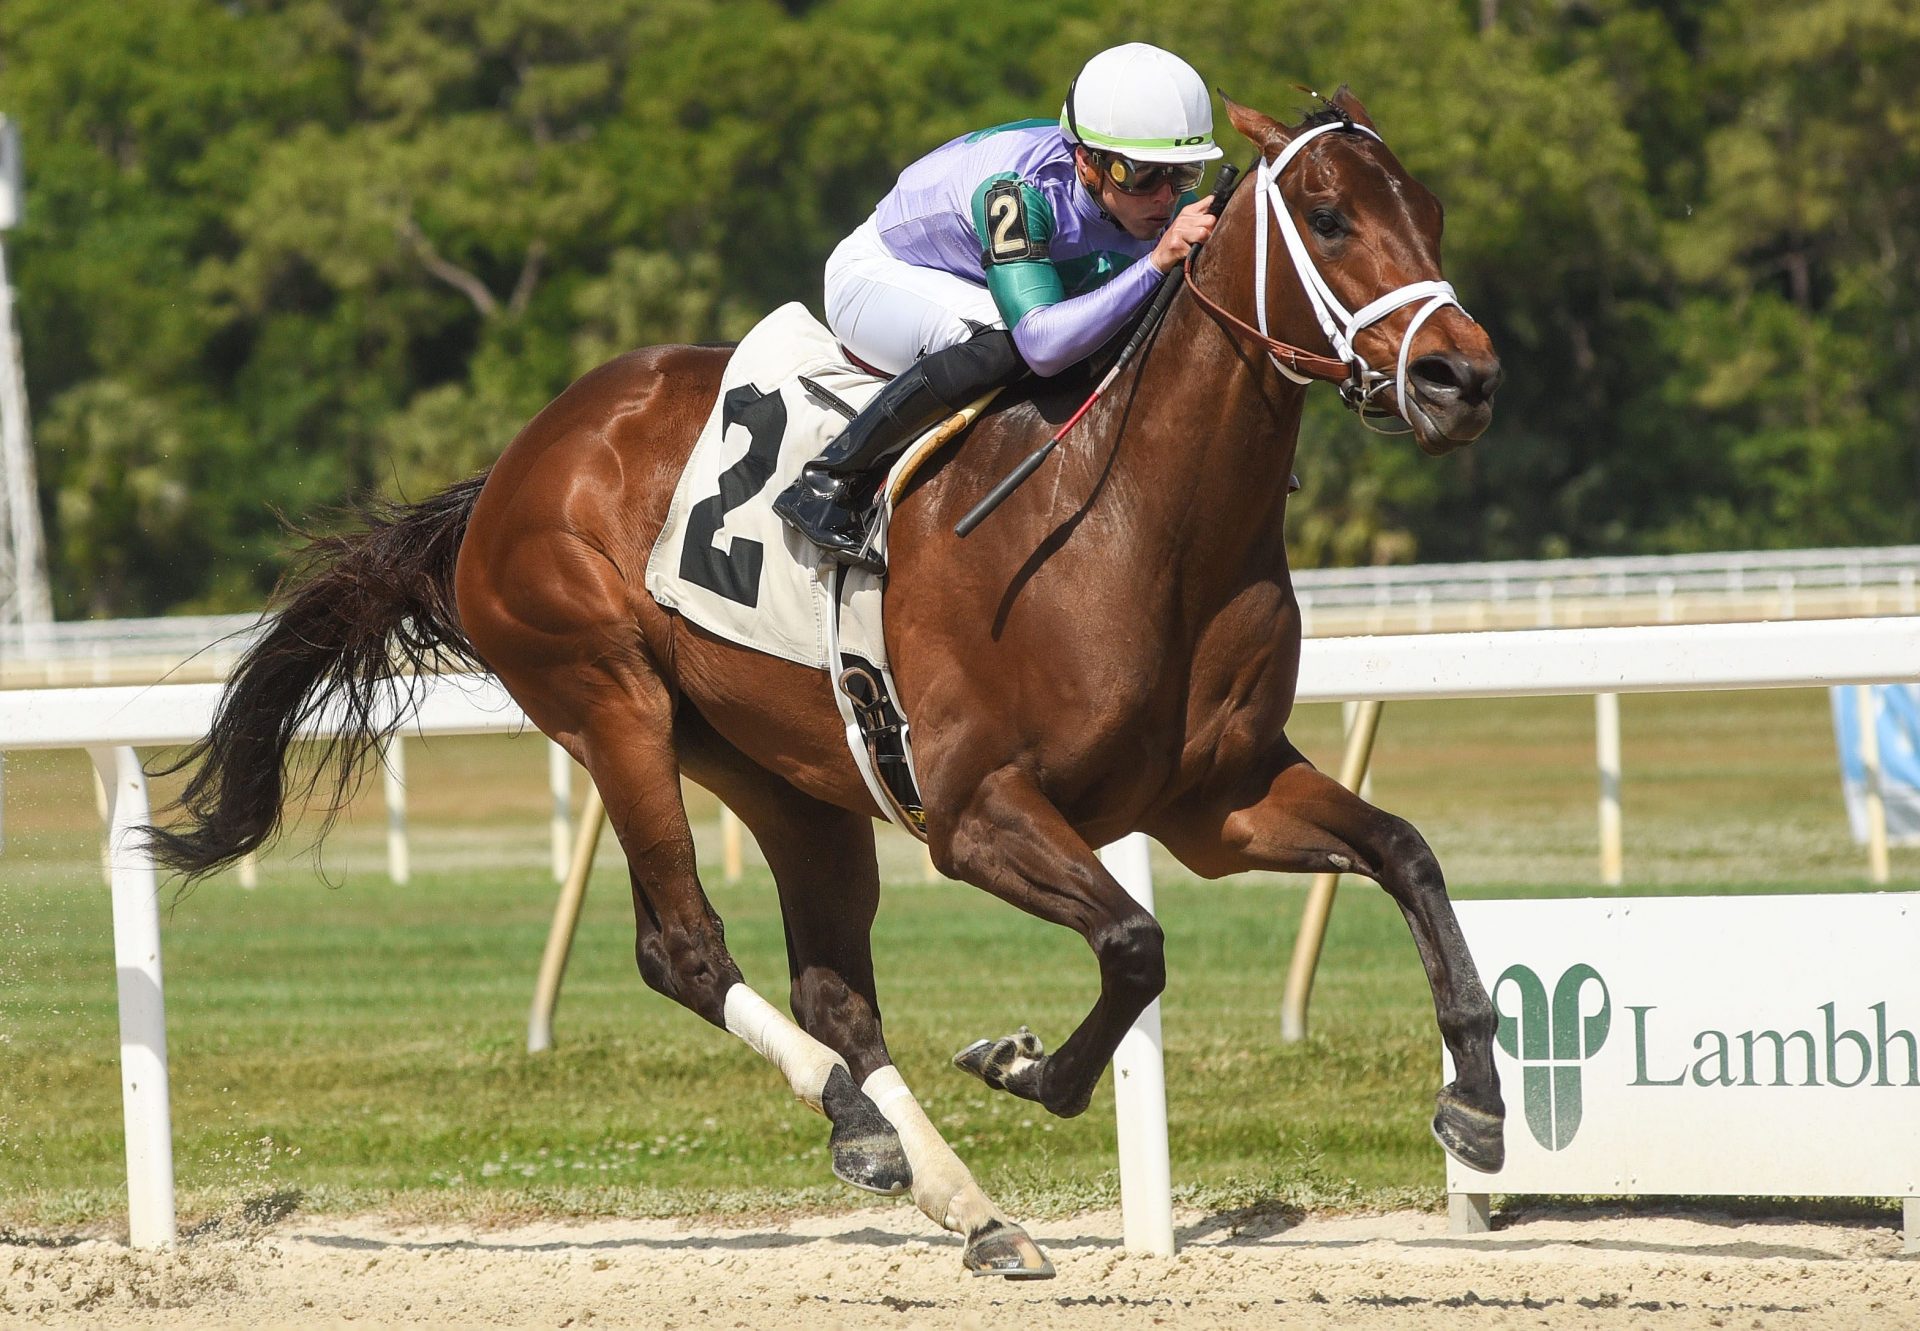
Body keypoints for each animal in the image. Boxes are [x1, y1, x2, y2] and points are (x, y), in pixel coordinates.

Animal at [145, 93, 1497, 1275]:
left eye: (1431, 209)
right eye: (1326, 213)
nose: (1461, 377)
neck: (1133, 522)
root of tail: (518, 460)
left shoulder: (1216, 799)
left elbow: (1407, 851)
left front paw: (1478, 1099)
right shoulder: (977, 812)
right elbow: (1134, 940)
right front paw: (1023, 1064)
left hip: (788, 771)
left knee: (837, 992)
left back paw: (965, 1202)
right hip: (610, 700)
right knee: (683, 947)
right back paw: (856, 1117)